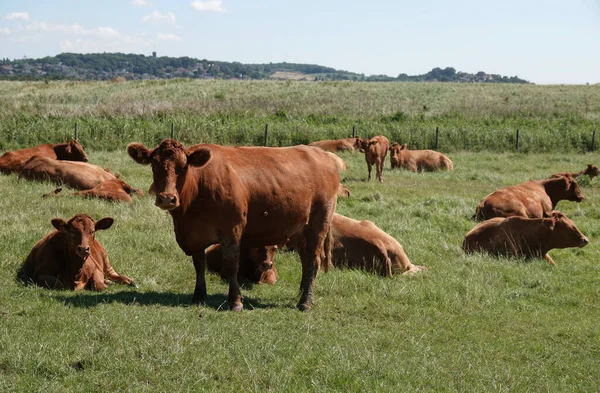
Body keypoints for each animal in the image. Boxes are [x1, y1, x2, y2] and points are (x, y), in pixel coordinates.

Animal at [128, 139, 340, 310]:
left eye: (183, 167)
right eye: (154, 166)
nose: (167, 198)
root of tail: (322, 154)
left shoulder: (232, 230)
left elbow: (231, 265)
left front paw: (235, 302)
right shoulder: (195, 235)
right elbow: (199, 265)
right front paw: (199, 297)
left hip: (319, 222)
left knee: (313, 260)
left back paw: (305, 302)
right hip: (301, 229)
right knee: (305, 258)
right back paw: (302, 292)